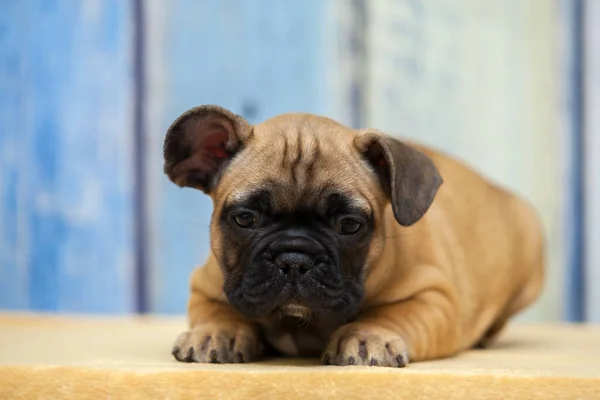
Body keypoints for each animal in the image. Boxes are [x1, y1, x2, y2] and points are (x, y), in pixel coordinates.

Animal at [163, 105, 544, 366]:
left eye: (349, 225)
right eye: (245, 218)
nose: (294, 258)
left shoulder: (434, 297)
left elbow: (391, 314)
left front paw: (366, 336)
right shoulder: (207, 284)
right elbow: (219, 309)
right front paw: (217, 332)